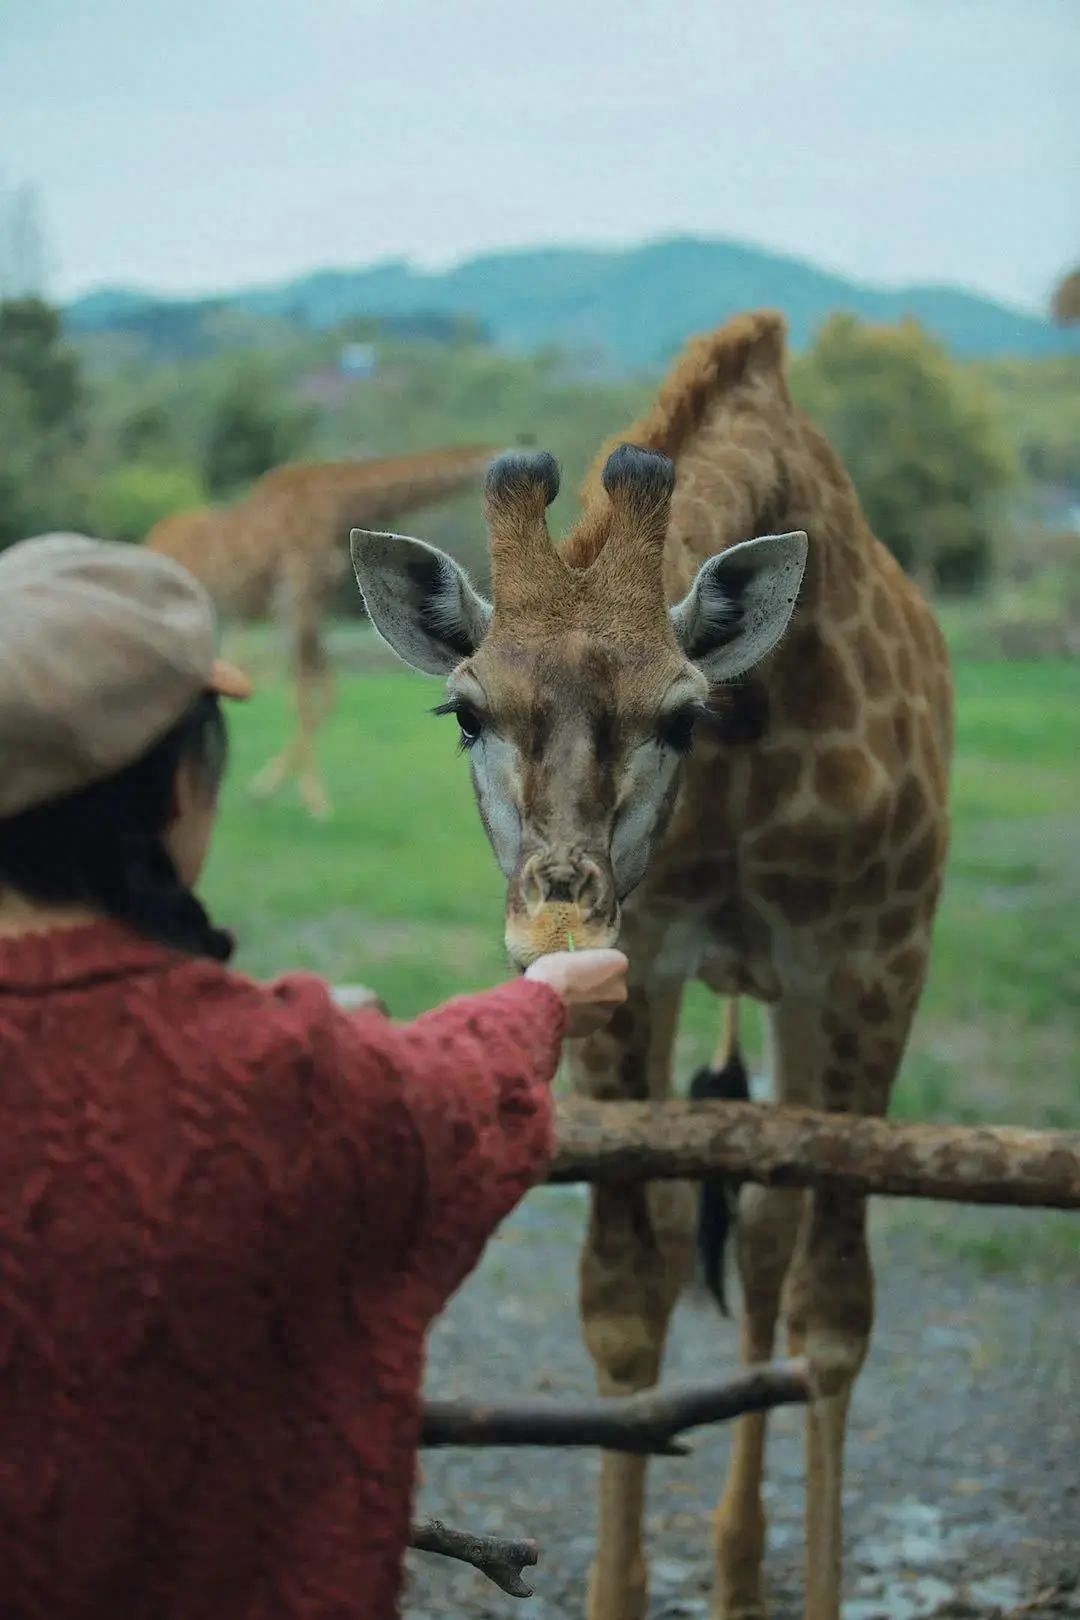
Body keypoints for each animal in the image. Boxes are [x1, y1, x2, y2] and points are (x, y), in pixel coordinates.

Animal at [148, 443, 498, 816]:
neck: (340, 504)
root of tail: (151, 539)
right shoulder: (295, 599)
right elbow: (302, 693)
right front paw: (305, 798)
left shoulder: (316, 606)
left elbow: (327, 691)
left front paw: (273, 788)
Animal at [352, 306, 952, 1620]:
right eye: (463, 712)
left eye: (682, 714)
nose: (552, 919)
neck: (761, 714)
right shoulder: (650, 962)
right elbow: (628, 1303)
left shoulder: (872, 958)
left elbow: (835, 1317)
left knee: (776, 1245)